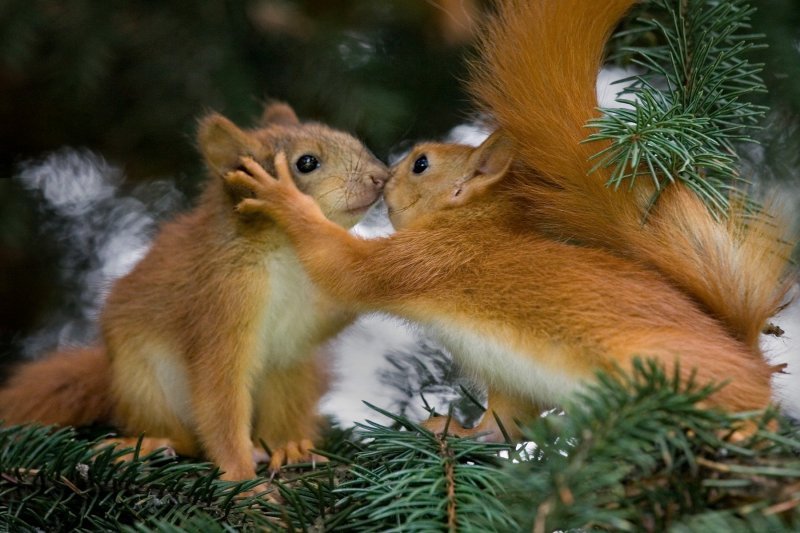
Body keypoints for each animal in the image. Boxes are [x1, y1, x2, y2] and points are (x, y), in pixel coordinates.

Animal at [0, 102, 388, 484]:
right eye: (306, 163)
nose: (381, 177)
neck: (288, 253)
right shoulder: (221, 300)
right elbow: (220, 395)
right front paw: (242, 481)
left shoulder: (309, 313)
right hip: (143, 381)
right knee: (185, 438)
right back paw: (152, 444)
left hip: (294, 371)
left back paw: (289, 446)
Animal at [225, 0, 800, 438]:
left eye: (421, 164)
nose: (383, 177)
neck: (470, 226)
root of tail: (748, 359)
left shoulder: (425, 260)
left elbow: (345, 267)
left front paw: (283, 197)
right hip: (512, 378)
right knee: (502, 426)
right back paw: (456, 431)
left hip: (671, 370)